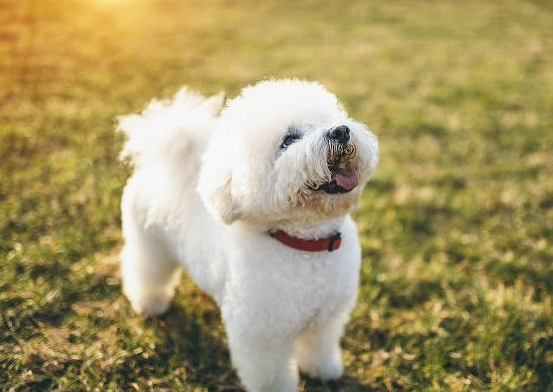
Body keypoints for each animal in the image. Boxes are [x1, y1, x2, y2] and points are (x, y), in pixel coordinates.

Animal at [118, 79, 380, 392]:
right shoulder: (261, 332)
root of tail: (158, 165)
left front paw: (323, 371)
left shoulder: (326, 317)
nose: (340, 131)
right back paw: (150, 304)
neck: (304, 244)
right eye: (289, 140)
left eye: (329, 120)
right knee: (145, 271)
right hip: (149, 244)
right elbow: (271, 374)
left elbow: (319, 346)